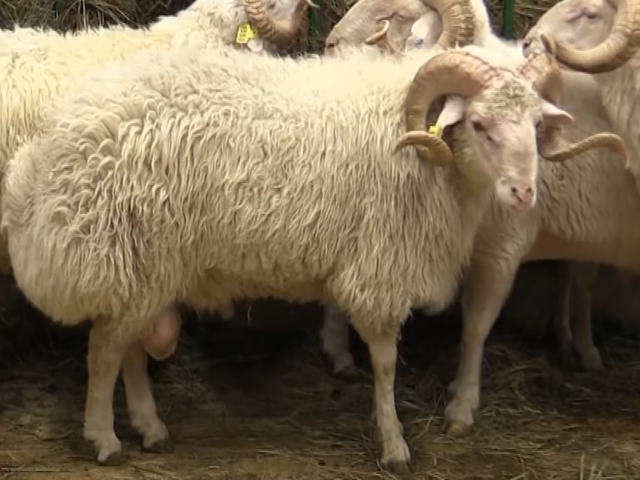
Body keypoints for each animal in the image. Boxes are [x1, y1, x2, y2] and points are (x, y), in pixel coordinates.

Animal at [0, 42, 594, 470]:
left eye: (536, 126)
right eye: (479, 124)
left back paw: (150, 429)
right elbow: (384, 364)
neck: (421, 151)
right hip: (133, 254)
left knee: (127, 350)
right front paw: (394, 445)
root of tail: (53, 141)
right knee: (104, 352)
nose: (523, 193)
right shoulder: (379, 268)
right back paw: (104, 439)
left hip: (149, 267)